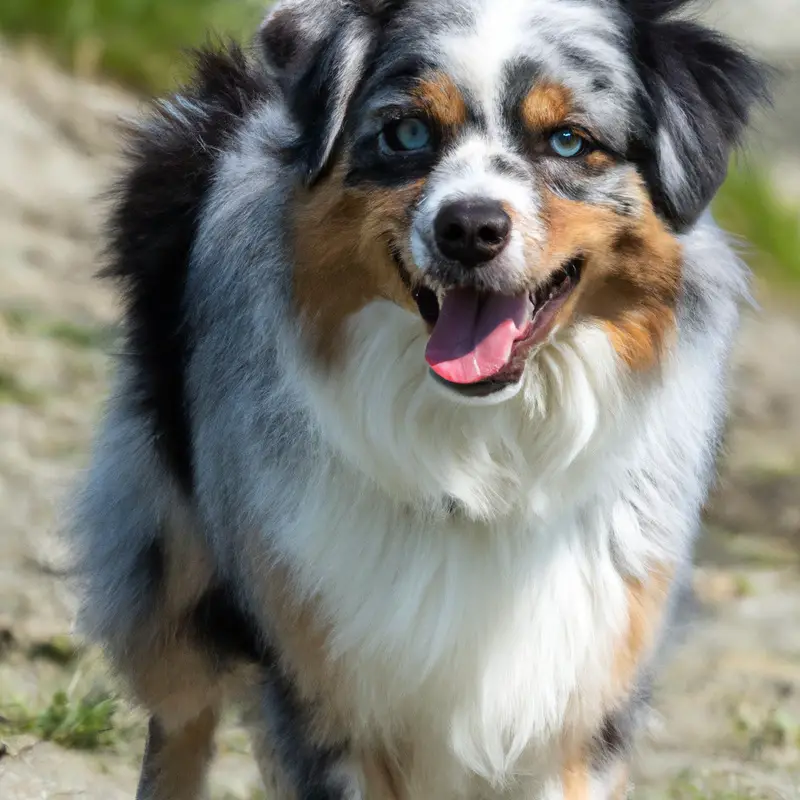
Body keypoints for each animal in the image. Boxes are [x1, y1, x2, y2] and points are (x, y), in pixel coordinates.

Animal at [72, 1, 772, 800]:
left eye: (569, 140)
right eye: (407, 133)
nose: (468, 228)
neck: (485, 451)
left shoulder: (581, 700)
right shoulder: (327, 688)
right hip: (171, 568)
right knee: (182, 716)